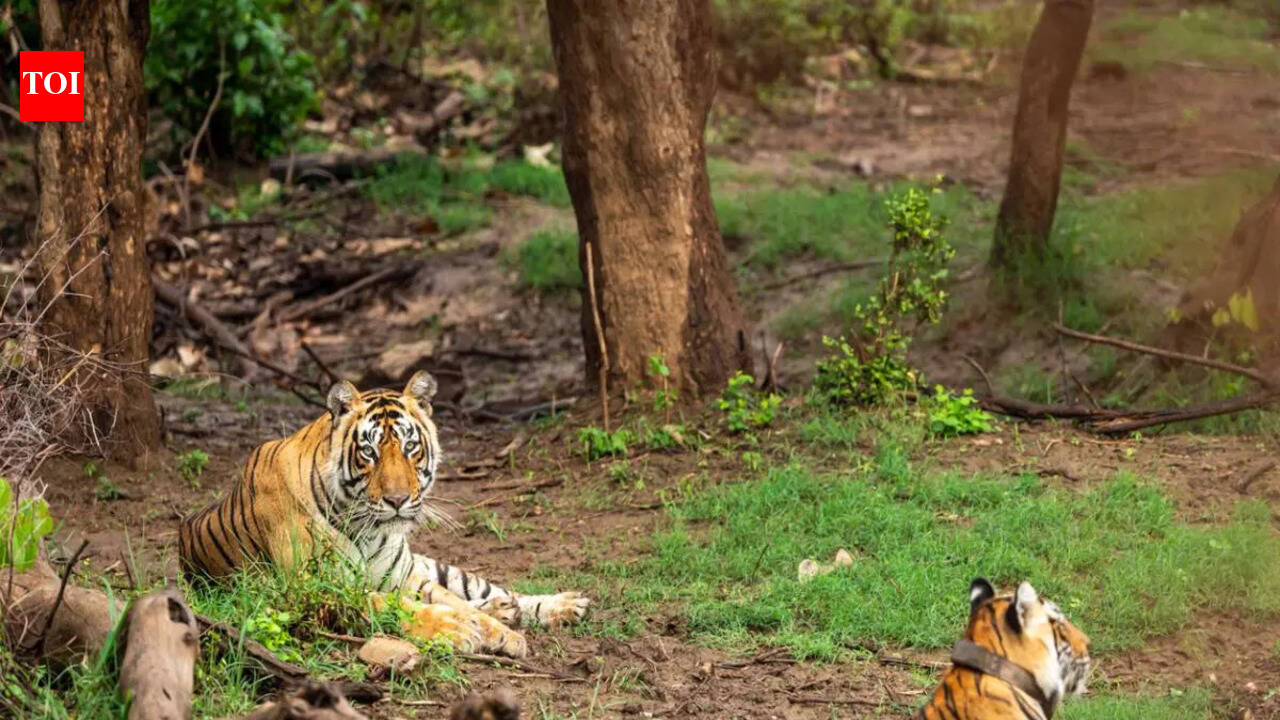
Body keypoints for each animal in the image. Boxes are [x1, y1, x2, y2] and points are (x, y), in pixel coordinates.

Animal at [179, 371, 590, 658]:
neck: (368, 528)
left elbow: (451, 600)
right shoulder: (320, 589)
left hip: (429, 566)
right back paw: (508, 610)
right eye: (369, 452)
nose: (397, 499)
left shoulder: (404, 577)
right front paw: (459, 629)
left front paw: (502, 633)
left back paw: (558, 606)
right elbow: (406, 608)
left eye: (410, 447)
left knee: (484, 589)